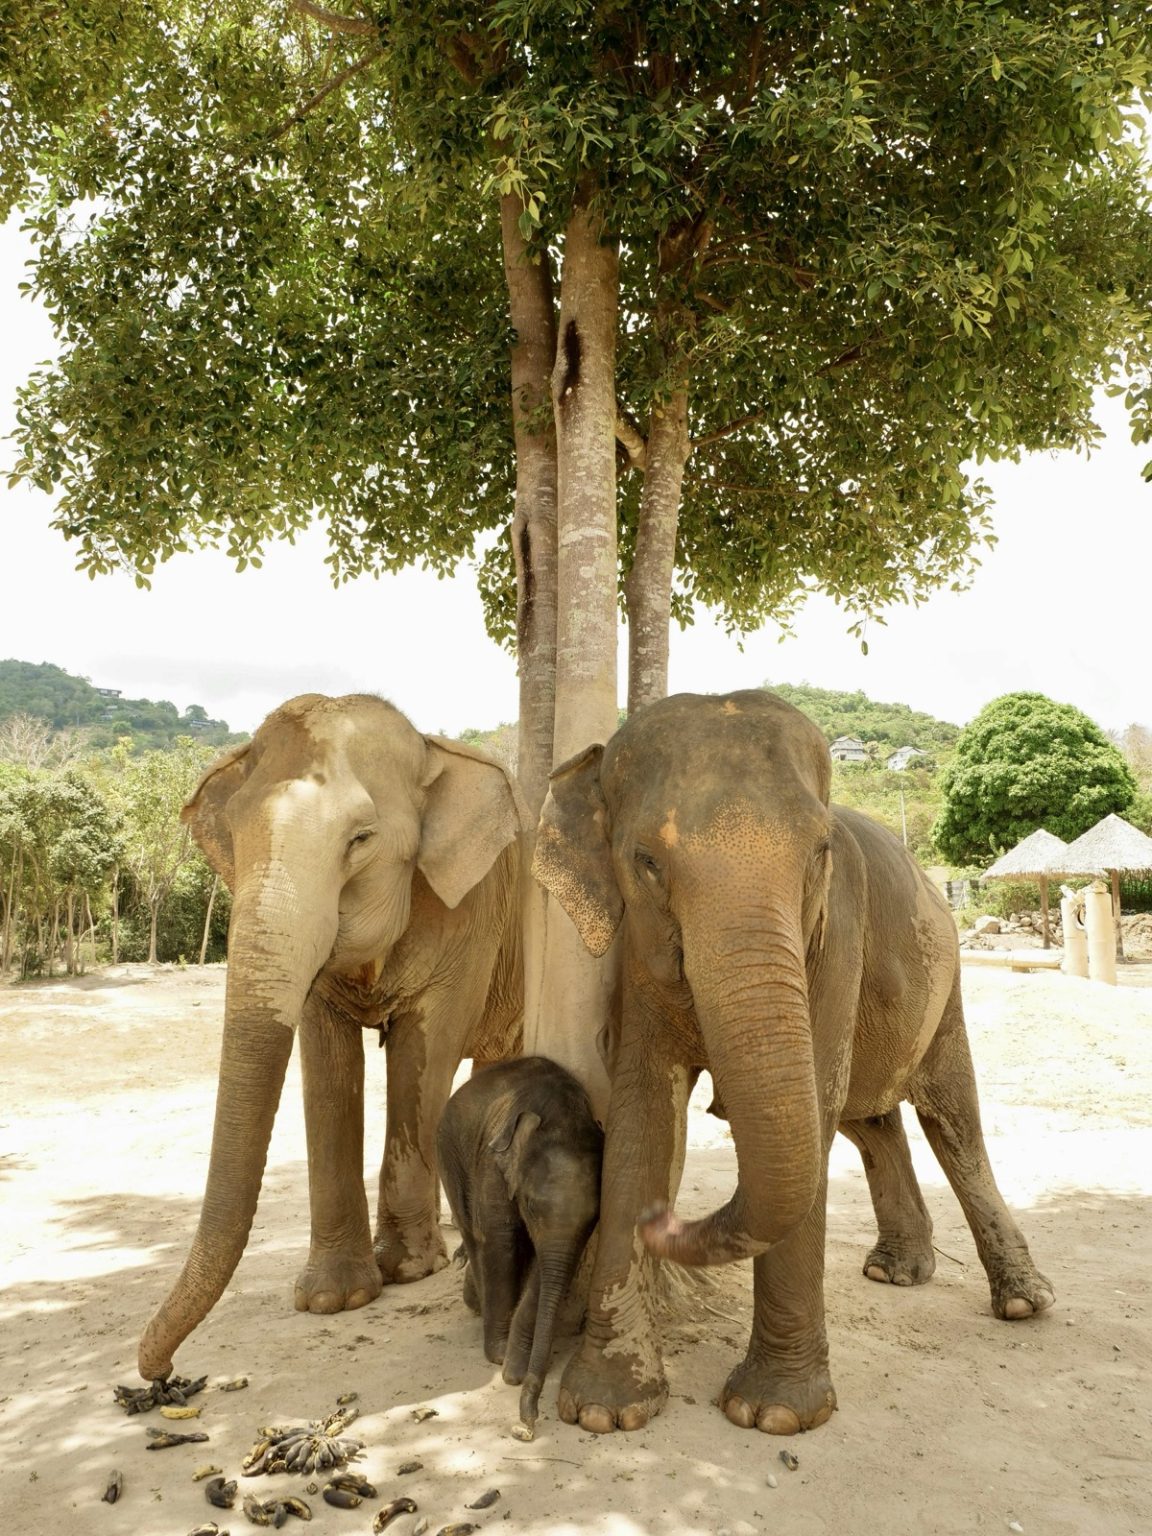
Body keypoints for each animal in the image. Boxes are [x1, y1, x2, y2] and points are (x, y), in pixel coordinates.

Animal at [138, 692, 525, 1381]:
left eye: (361, 840)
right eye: (234, 839)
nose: (162, 1376)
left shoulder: (472, 910)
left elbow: (423, 1050)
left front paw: (407, 1269)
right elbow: (325, 1065)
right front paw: (332, 1299)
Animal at [437, 1056, 603, 1435]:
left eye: (594, 1219)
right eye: (530, 1206)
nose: (528, 1422)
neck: (561, 1113)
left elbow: (548, 1265)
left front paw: (514, 1363)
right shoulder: (492, 1163)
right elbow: (502, 1240)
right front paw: (499, 1356)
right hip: (449, 1152)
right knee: (472, 1231)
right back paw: (480, 1307)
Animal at [532, 689, 1054, 1437]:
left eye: (818, 854)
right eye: (646, 861)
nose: (664, 1223)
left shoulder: (837, 932)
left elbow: (814, 1101)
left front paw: (774, 1414)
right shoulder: (639, 952)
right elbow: (642, 1112)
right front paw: (605, 1410)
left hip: (947, 986)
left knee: (954, 1123)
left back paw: (1021, 1302)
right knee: (872, 1121)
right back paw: (899, 1271)